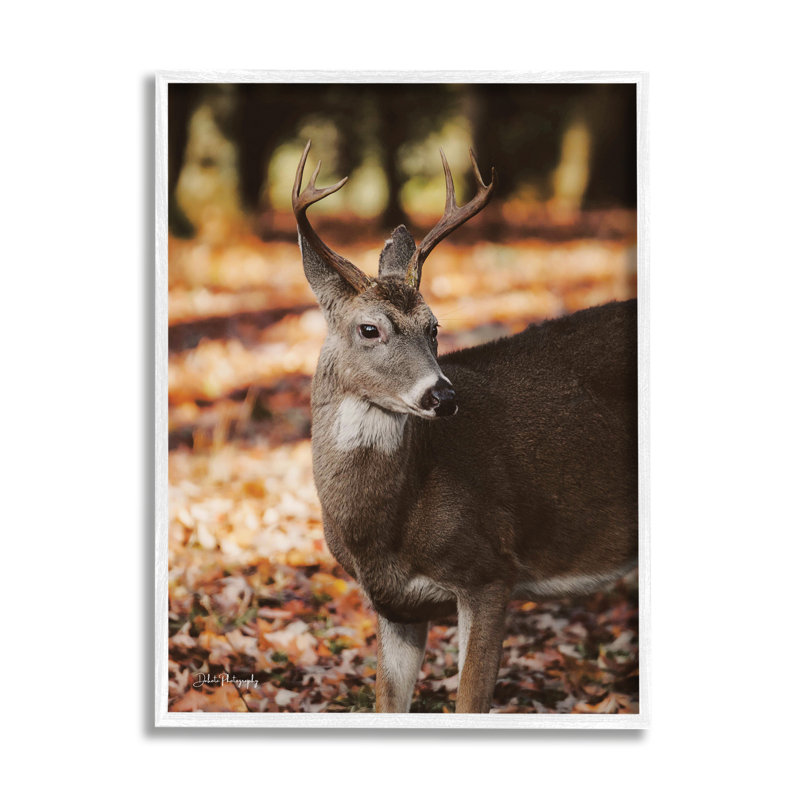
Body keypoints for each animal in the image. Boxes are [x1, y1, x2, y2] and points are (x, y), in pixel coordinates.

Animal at [292, 141, 638, 713]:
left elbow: (470, 701)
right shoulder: (395, 607)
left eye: (434, 327)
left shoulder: (491, 570)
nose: (444, 396)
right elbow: (388, 703)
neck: (384, 531)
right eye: (370, 329)